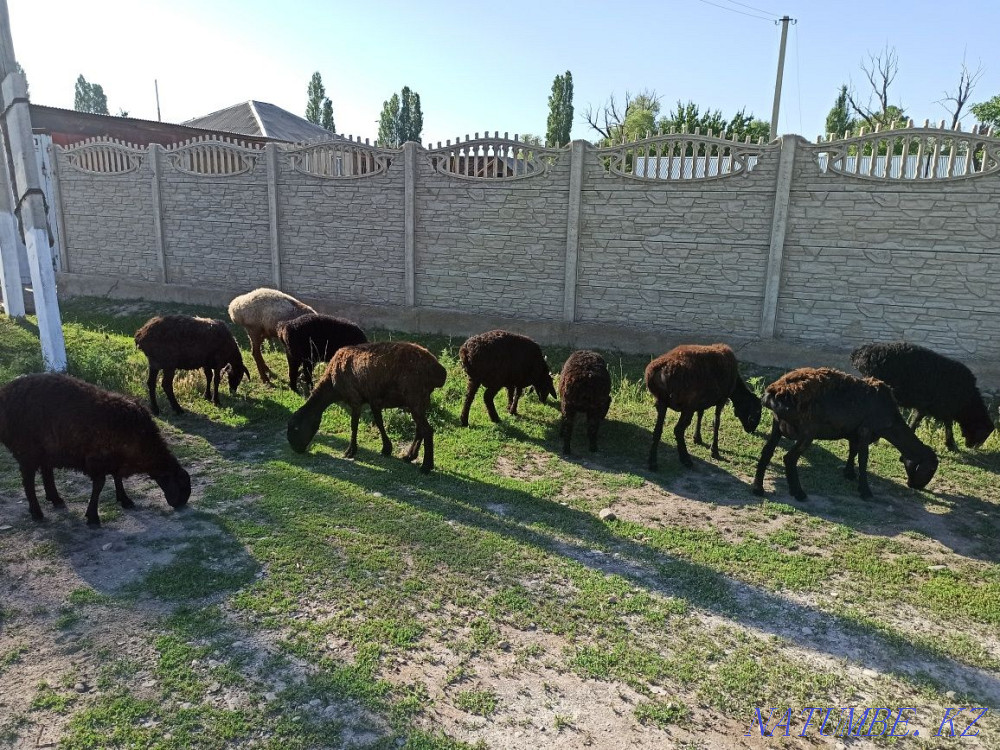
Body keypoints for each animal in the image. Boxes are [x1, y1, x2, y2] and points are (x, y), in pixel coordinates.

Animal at [0, 373, 191, 526]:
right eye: (181, 486)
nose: (180, 505)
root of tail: (5, 392)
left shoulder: (115, 459)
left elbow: (117, 478)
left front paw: (124, 499)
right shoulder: (97, 460)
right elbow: (99, 485)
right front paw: (92, 517)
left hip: (46, 450)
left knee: (46, 471)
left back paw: (55, 499)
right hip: (27, 451)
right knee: (28, 481)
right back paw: (37, 512)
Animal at [286, 341, 447, 473]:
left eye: (296, 428)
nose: (295, 449)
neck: (331, 385)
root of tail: (439, 371)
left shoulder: (355, 399)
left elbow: (354, 425)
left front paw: (350, 451)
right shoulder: (374, 400)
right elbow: (379, 422)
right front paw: (386, 448)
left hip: (415, 396)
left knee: (427, 430)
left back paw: (426, 466)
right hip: (419, 400)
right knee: (420, 429)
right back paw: (409, 456)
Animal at [751, 367, 938, 501]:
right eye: (930, 469)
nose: (916, 486)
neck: (890, 420)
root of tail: (774, 393)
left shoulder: (854, 432)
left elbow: (853, 452)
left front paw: (849, 474)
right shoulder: (865, 431)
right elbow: (863, 459)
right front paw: (865, 491)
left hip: (777, 426)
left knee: (766, 452)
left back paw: (758, 488)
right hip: (807, 431)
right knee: (789, 458)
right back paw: (798, 492)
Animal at [850, 341, 995, 451]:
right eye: (983, 434)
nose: (971, 447)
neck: (967, 401)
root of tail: (860, 353)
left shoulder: (935, 407)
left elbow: (935, 421)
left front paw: (950, 444)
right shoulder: (936, 406)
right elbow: (930, 421)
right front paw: (951, 445)